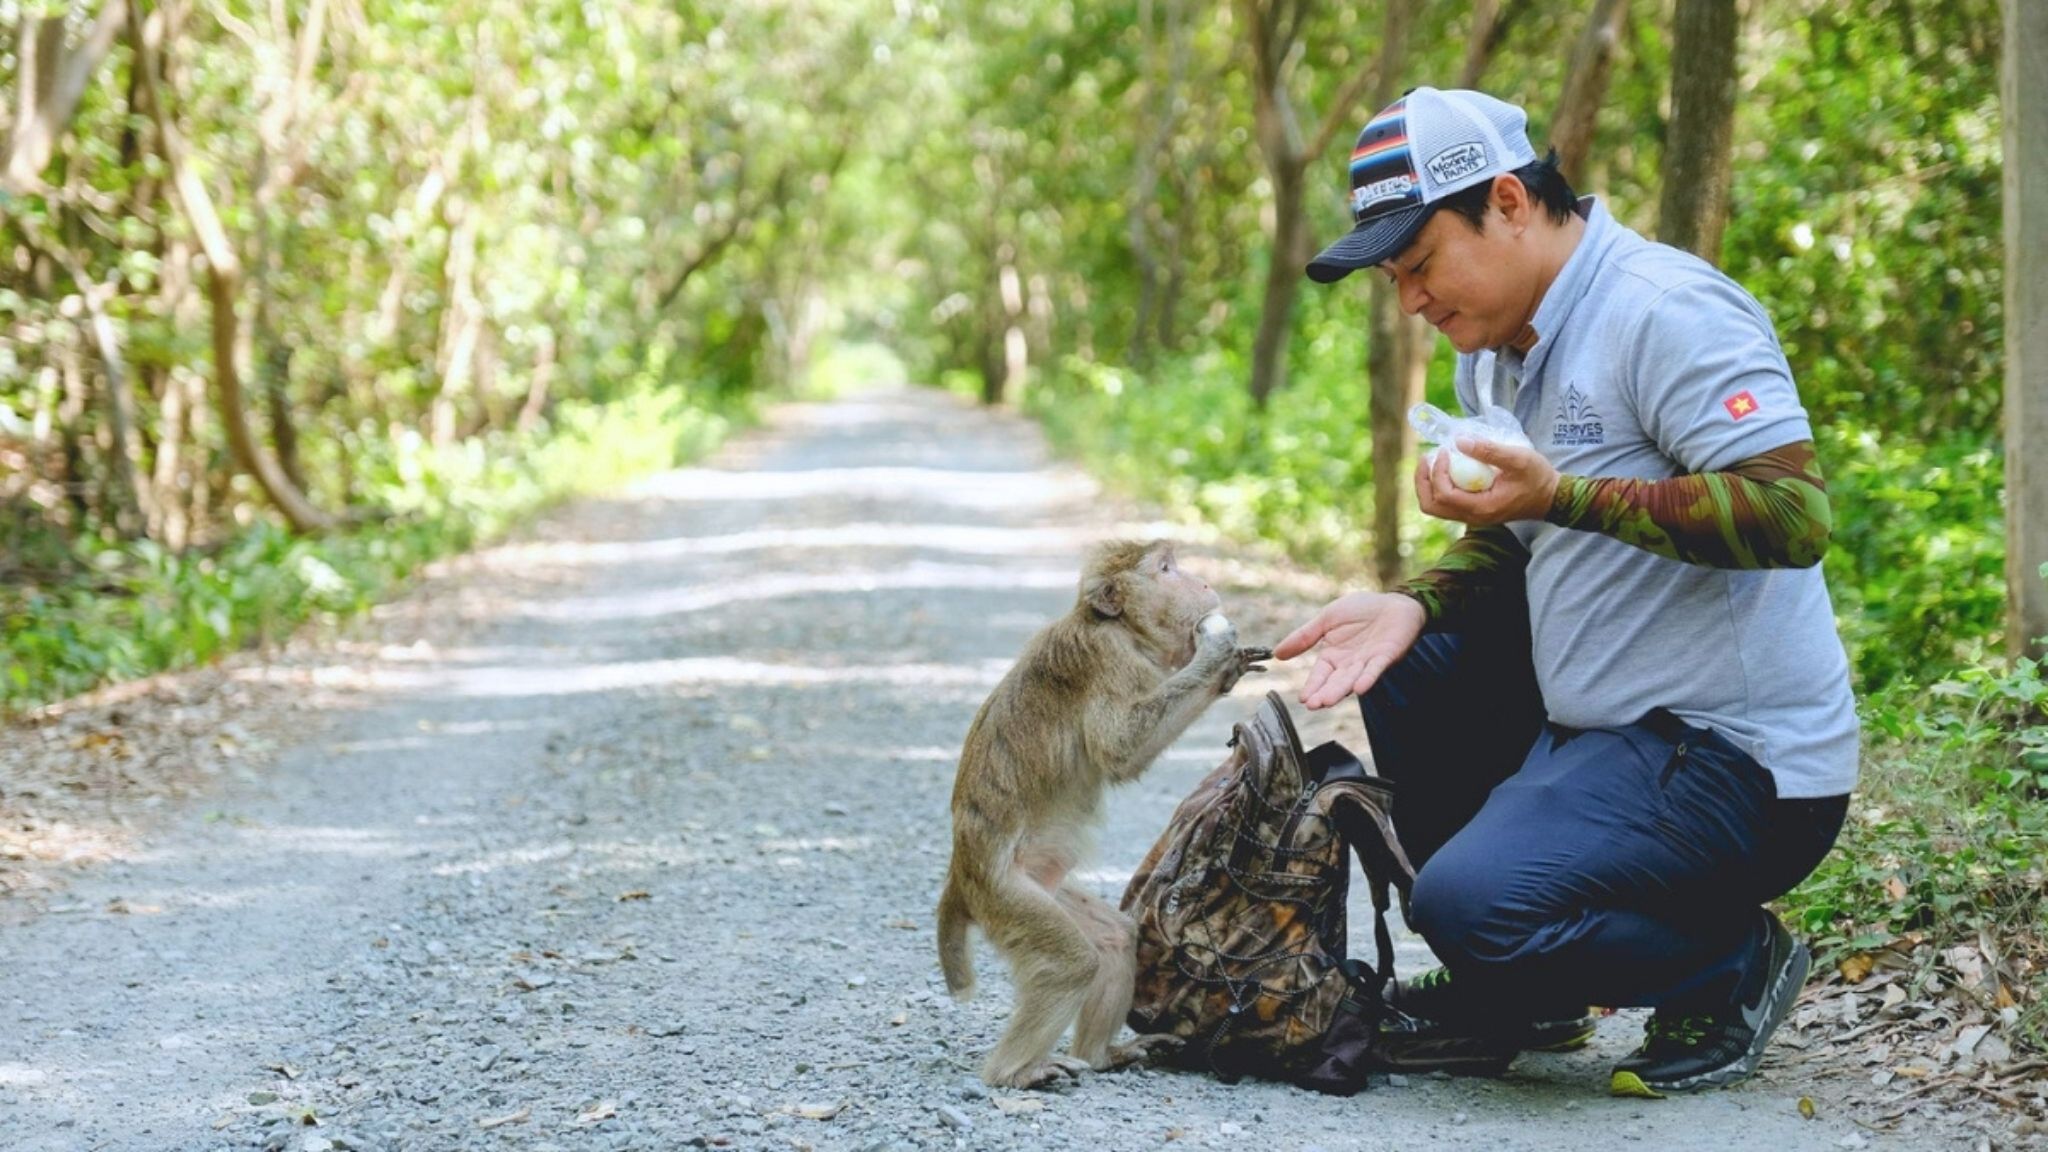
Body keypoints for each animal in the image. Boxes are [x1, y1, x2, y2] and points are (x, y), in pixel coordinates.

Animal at [935, 539, 1269, 1089]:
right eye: (1166, 569)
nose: (1203, 582)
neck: (1122, 631)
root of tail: (961, 872)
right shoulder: (1106, 660)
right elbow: (1120, 750)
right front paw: (1218, 653)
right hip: (1006, 896)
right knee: (1070, 963)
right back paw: (1014, 1074)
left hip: (1038, 887)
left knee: (1114, 939)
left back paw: (1099, 1056)